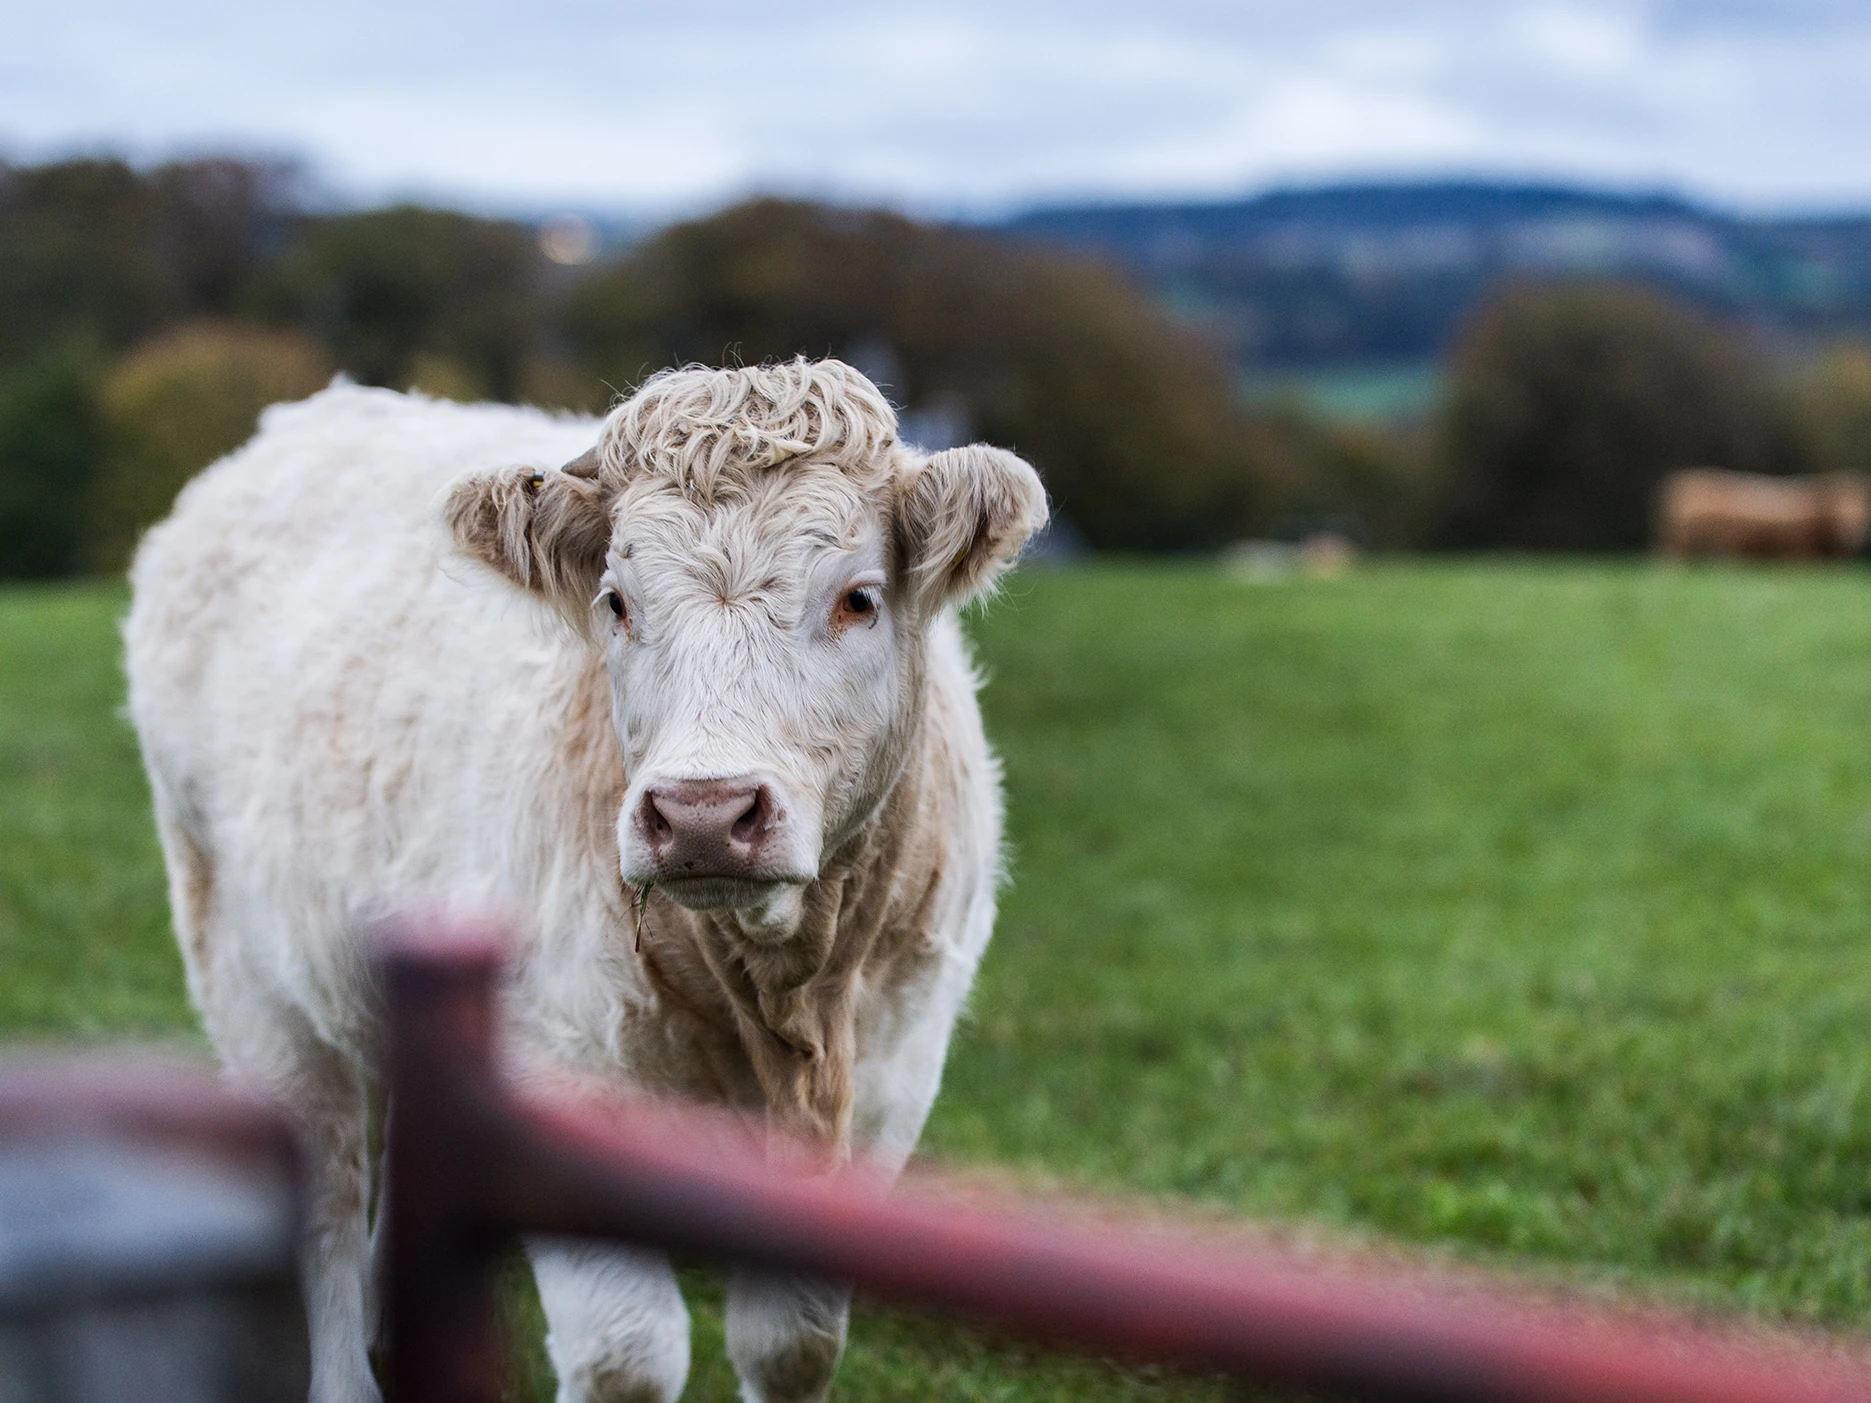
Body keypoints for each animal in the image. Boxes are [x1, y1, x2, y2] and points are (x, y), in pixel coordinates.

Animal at [124, 358, 1048, 1403]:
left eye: (858, 597)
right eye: (616, 602)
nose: (702, 810)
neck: (775, 994)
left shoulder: (893, 1068)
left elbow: (793, 1342)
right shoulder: (556, 1063)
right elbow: (626, 1353)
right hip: (242, 963)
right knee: (324, 1189)